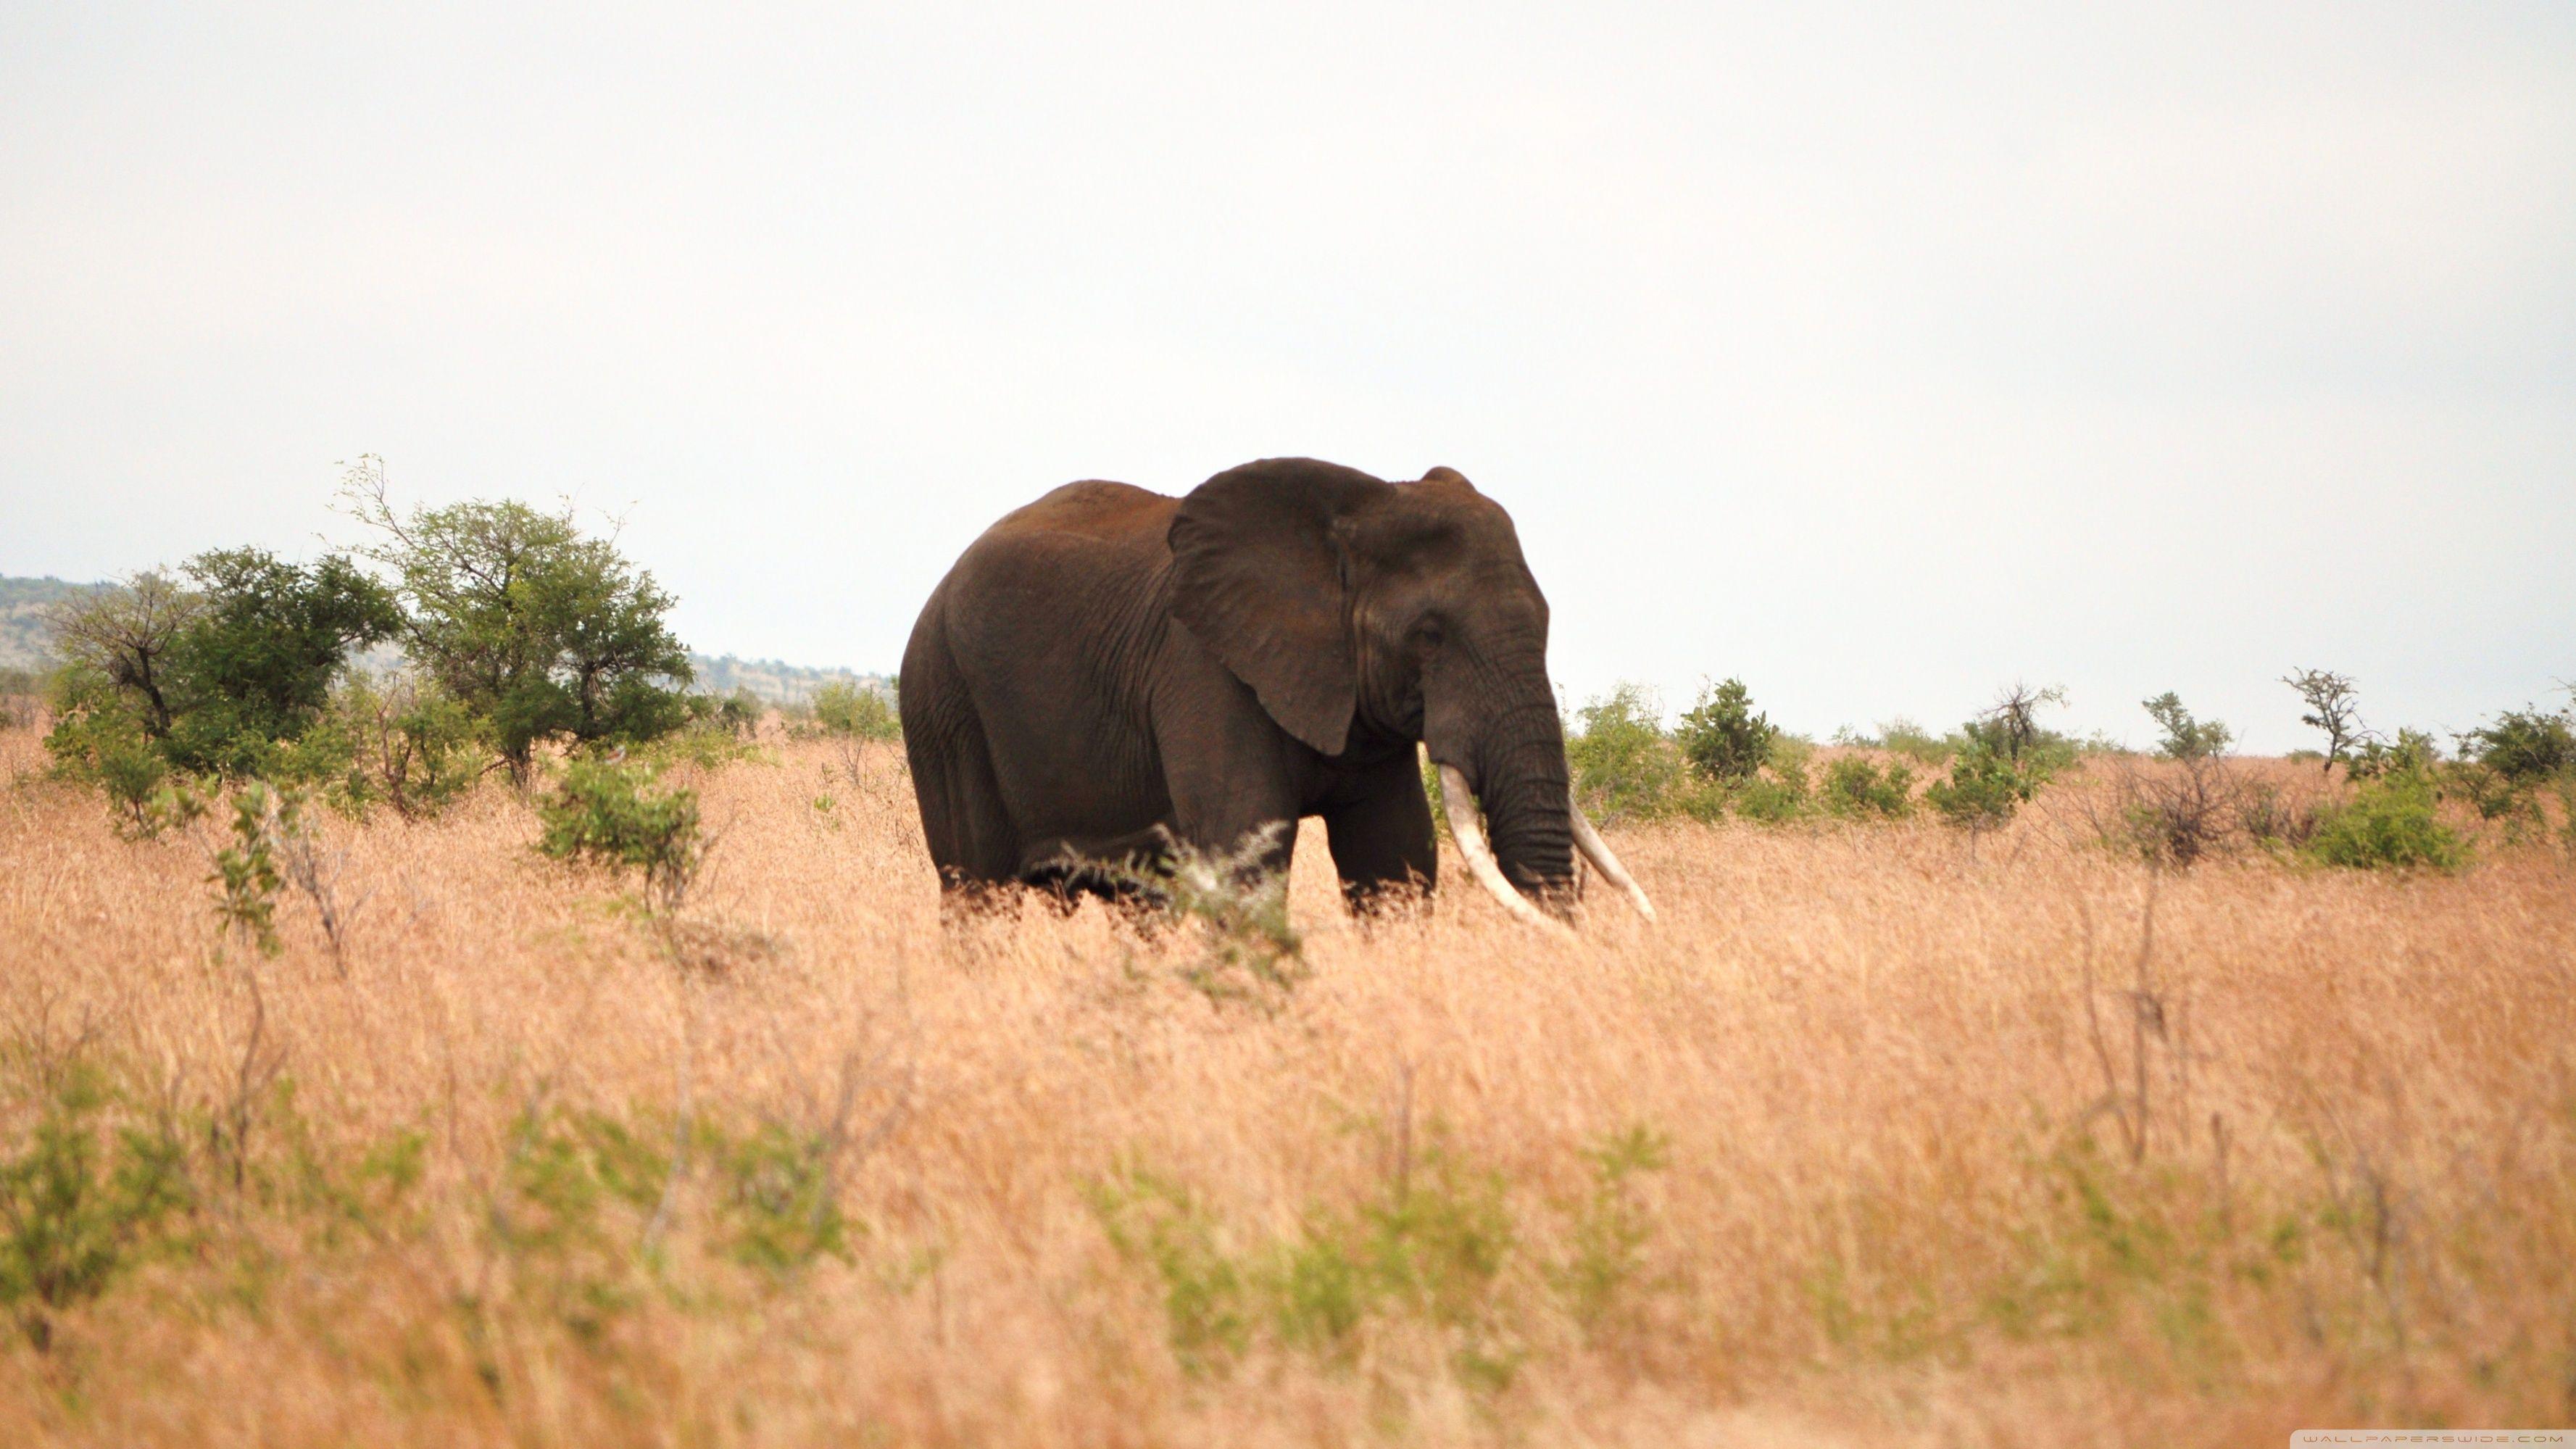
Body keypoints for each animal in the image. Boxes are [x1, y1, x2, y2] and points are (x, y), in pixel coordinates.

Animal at [898, 457, 1654, 930]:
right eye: (1429, 635)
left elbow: (1394, 855)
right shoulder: (1204, 666)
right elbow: (1246, 852)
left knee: (1139, 902)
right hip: (942, 700)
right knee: (978, 891)